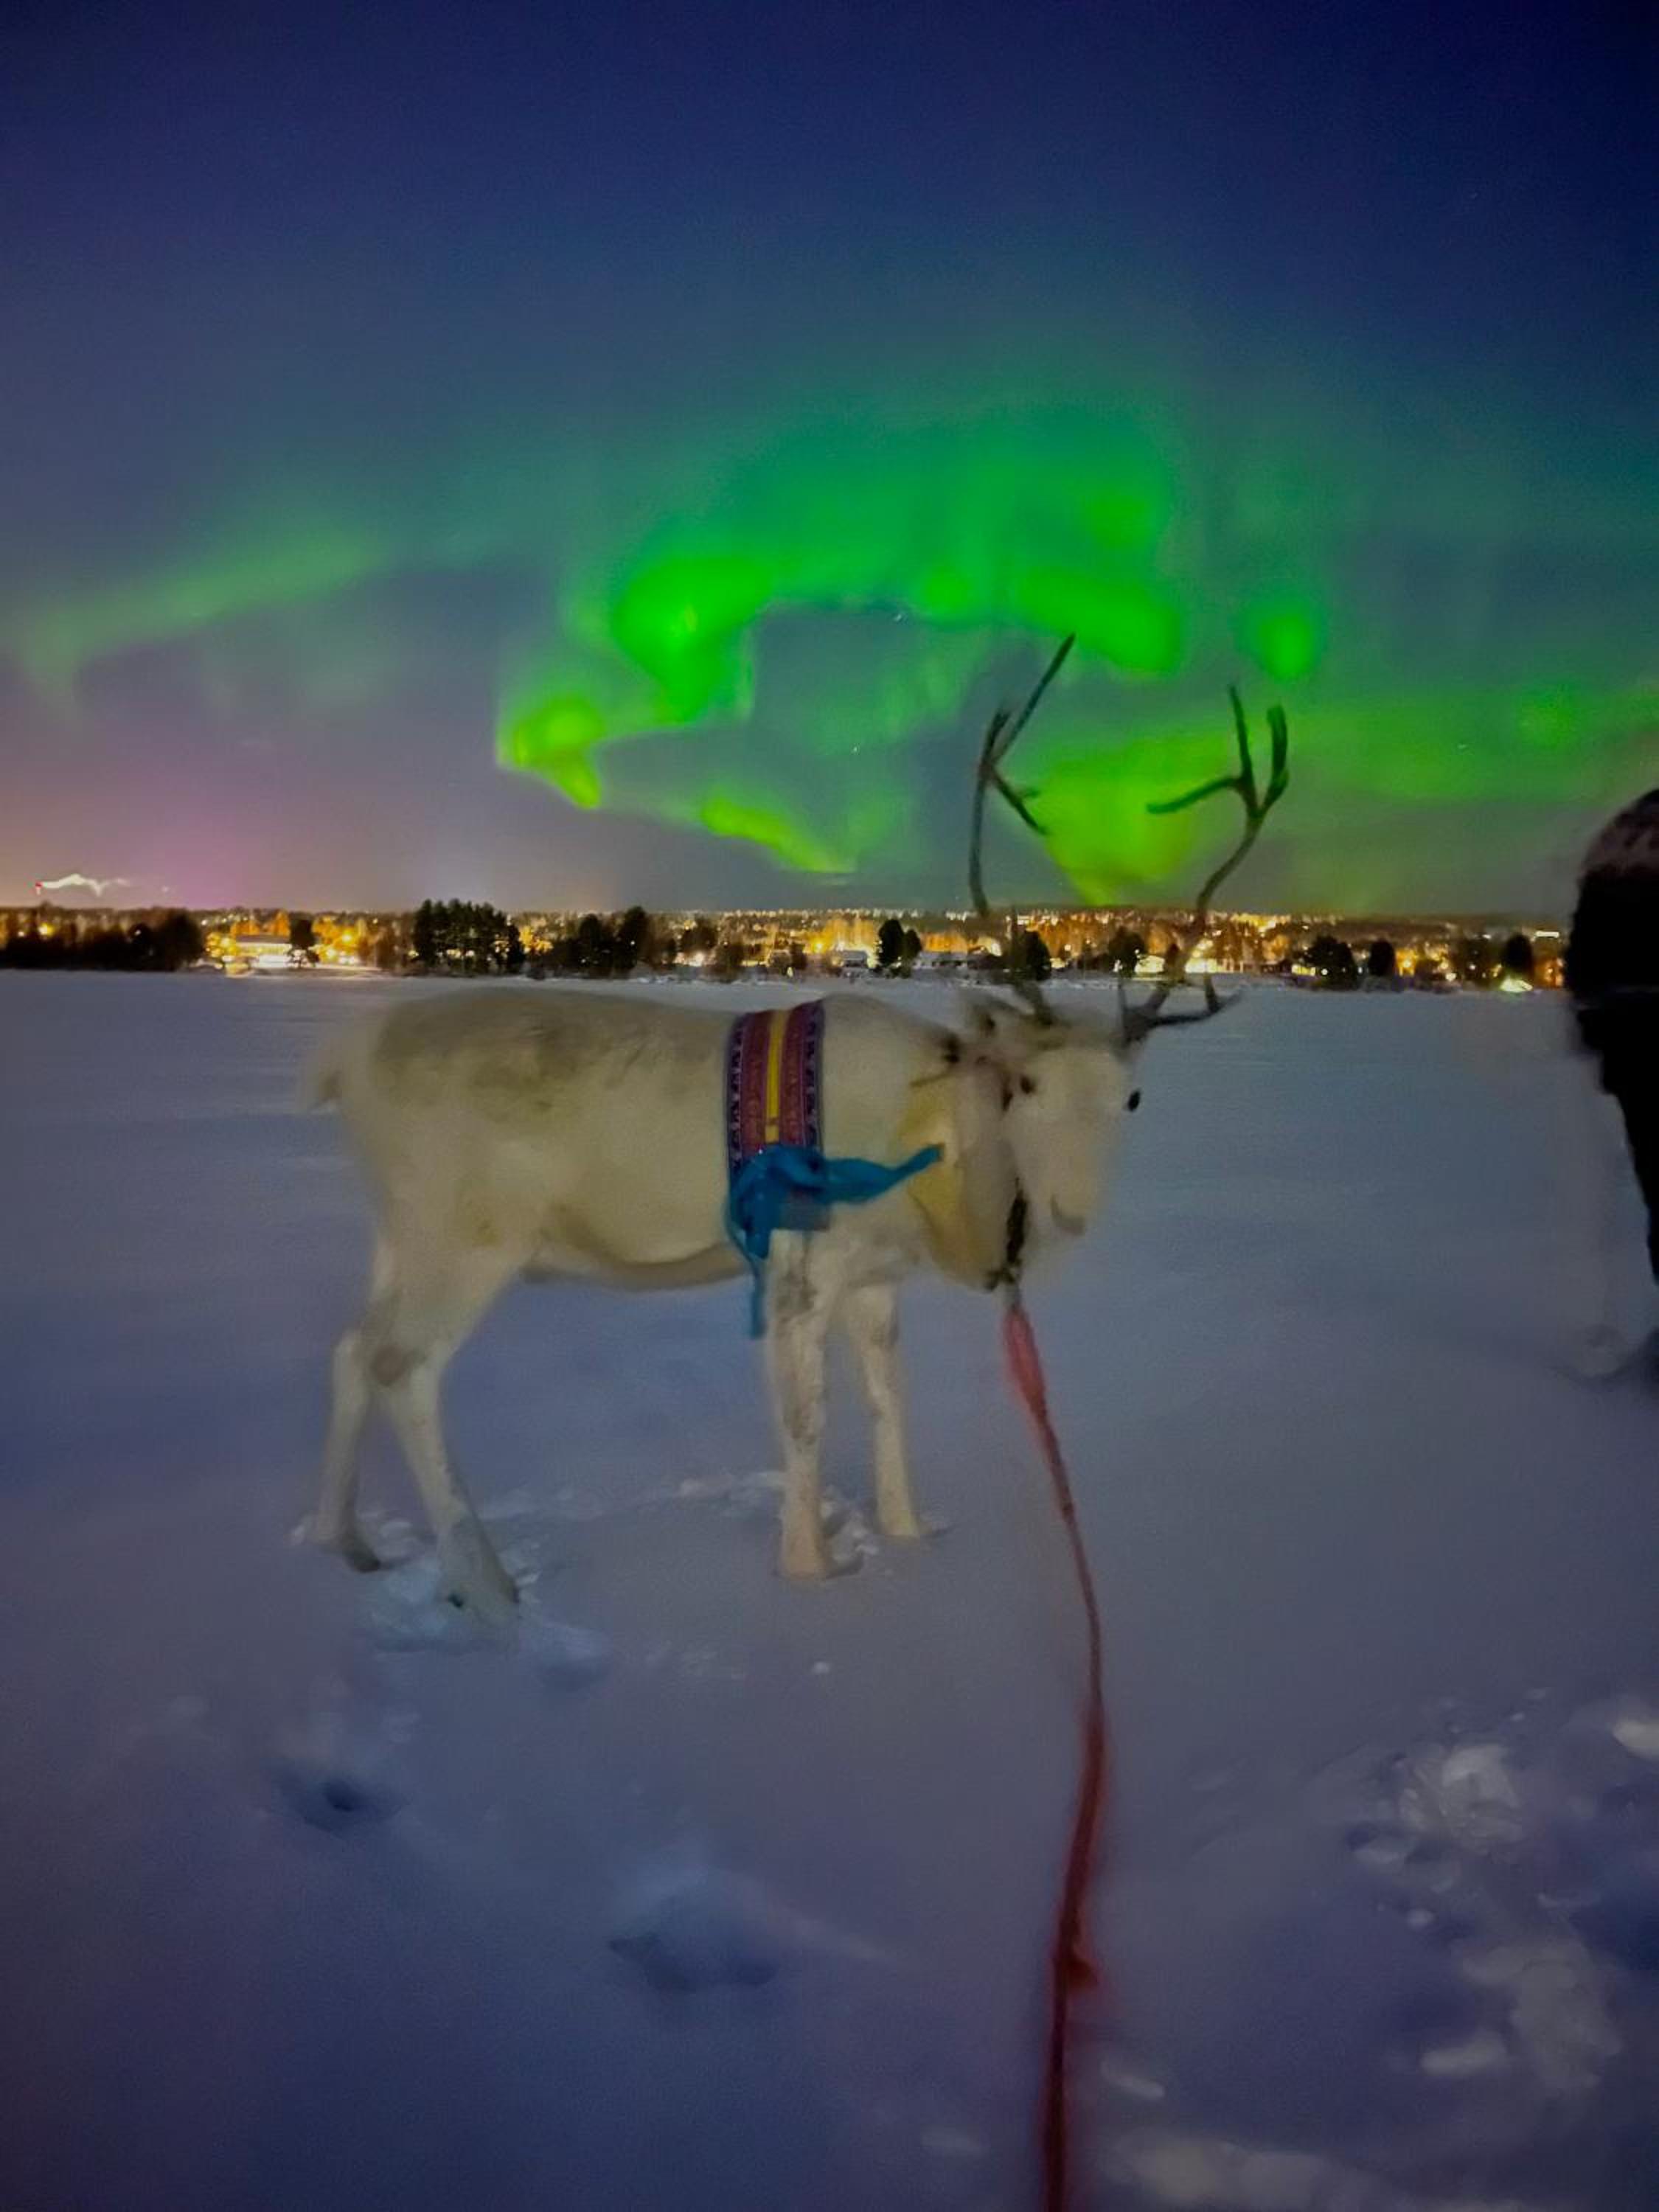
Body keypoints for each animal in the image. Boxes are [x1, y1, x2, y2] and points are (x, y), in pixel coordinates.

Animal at [304, 640, 1289, 1617]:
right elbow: (807, 1422)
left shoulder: (878, 1281)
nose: (1071, 1212)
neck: (937, 1164)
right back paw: (487, 1584)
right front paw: (809, 1571)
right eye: (1025, 1084)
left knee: (351, 1348)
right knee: (402, 1369)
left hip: (398, 1231)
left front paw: (907, 1535)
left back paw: (344, 1542)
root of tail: (343, 1064)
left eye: (1133, 1098)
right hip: (469, 1237)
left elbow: (891, 1401)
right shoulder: (801, 1268)